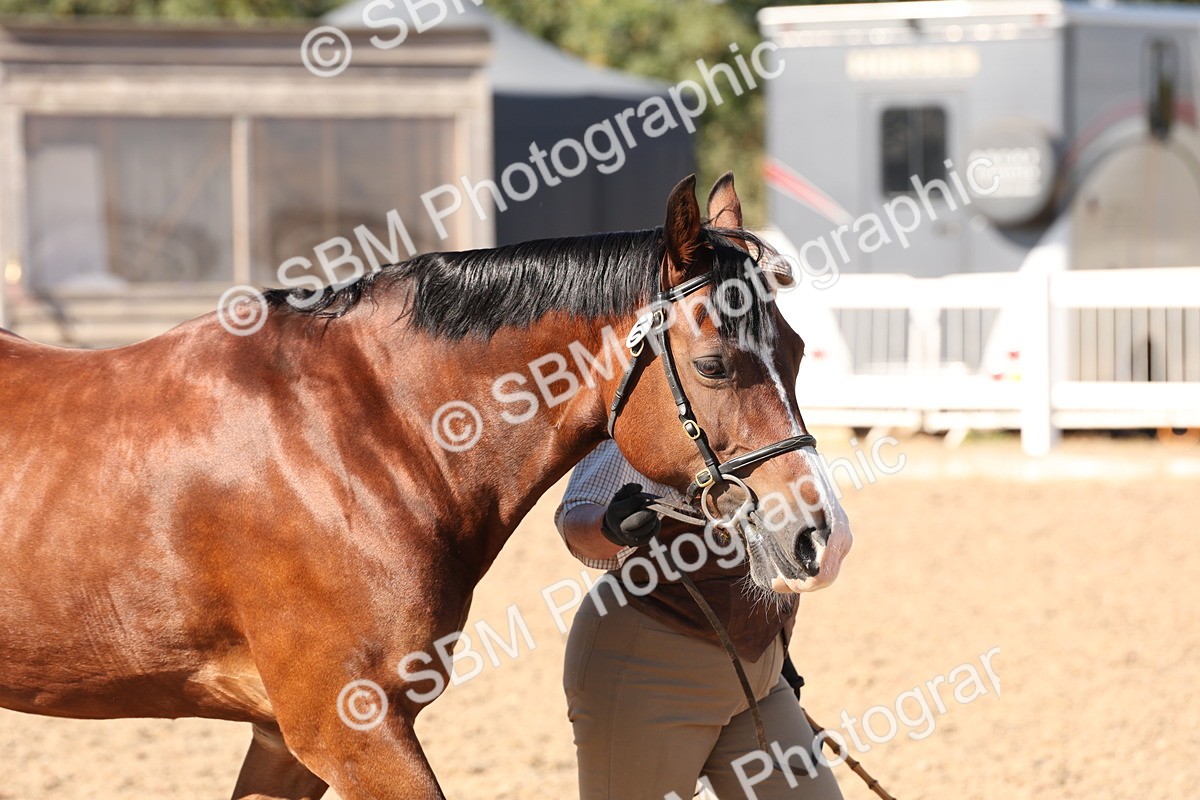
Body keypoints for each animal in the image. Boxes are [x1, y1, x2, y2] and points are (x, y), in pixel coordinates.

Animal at [0, 173, 852, 799]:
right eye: (714, 364)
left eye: (797, 349)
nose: (823, 537)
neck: (358, 436)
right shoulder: (349, 730)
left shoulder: (285, 737)